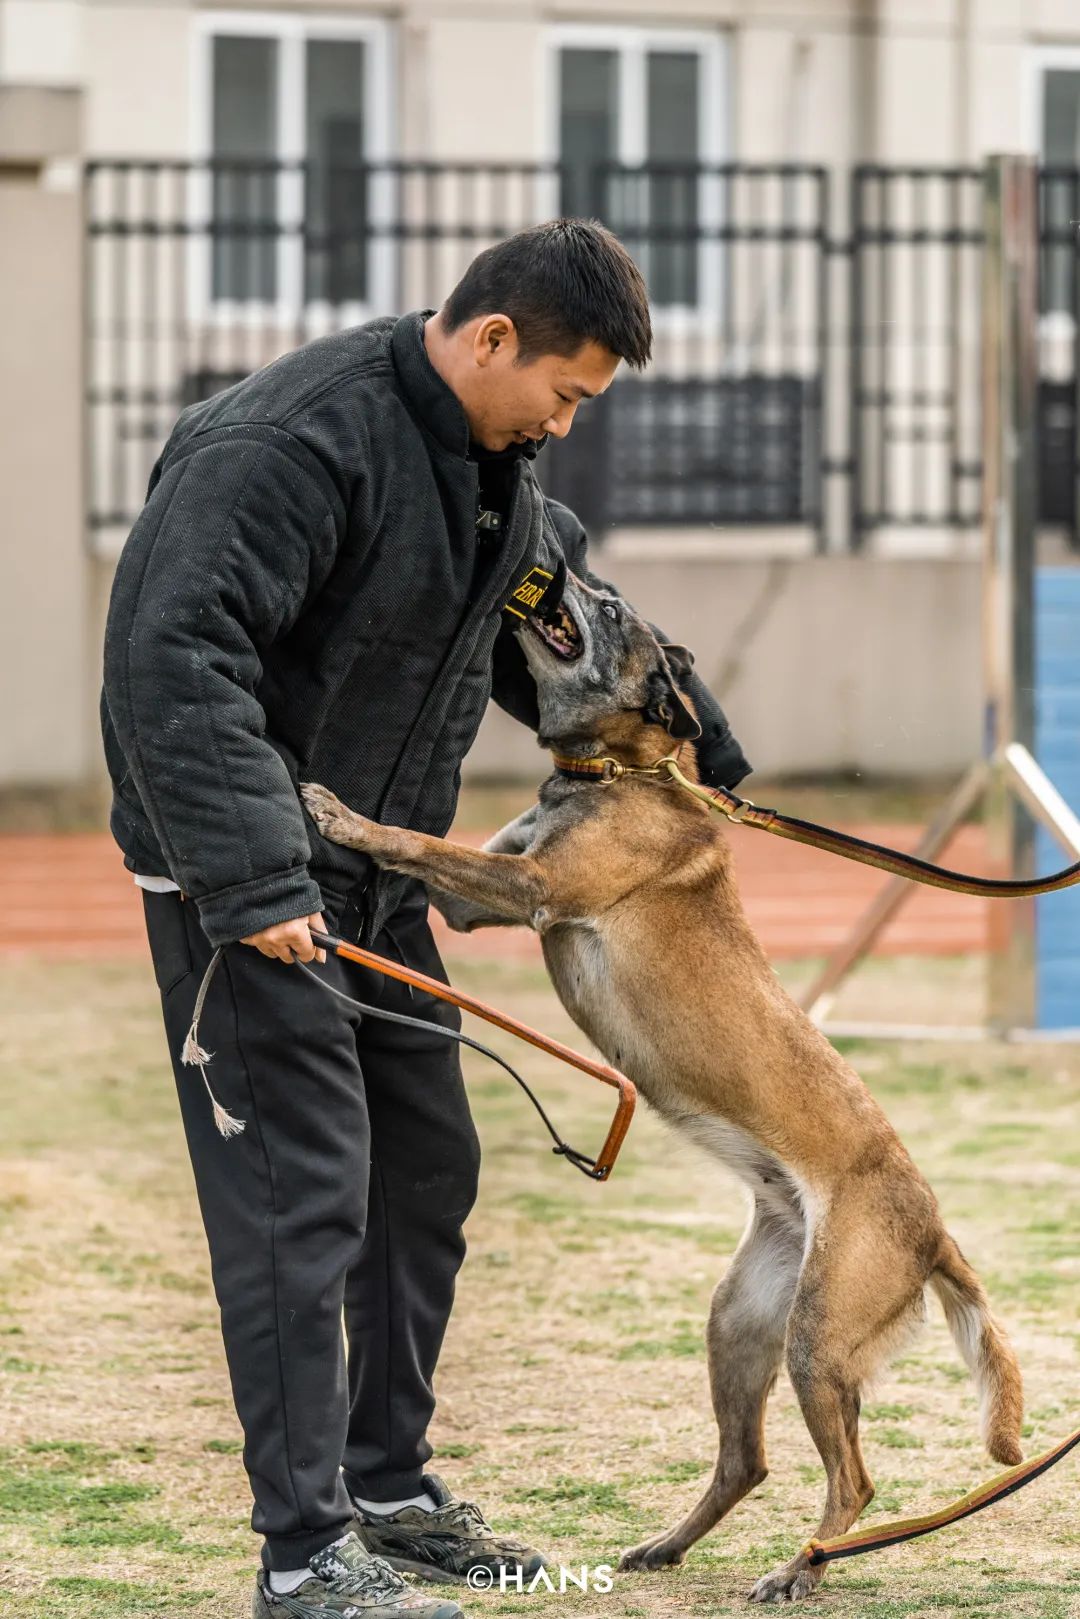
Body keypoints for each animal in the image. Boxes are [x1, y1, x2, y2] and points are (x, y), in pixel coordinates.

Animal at [299, 576, 1029, 1599]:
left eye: (609, 612)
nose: (570, 575)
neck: (624, 774)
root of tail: (933, 1227)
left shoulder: (525, 886)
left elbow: (414, 839)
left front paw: (339, 814)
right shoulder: (478, 897)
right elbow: (434, 854)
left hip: (816, 1338)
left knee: (853, 1480)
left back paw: (801, 1567)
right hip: (742, 1320)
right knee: (747, 1460)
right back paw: (671, 1545)